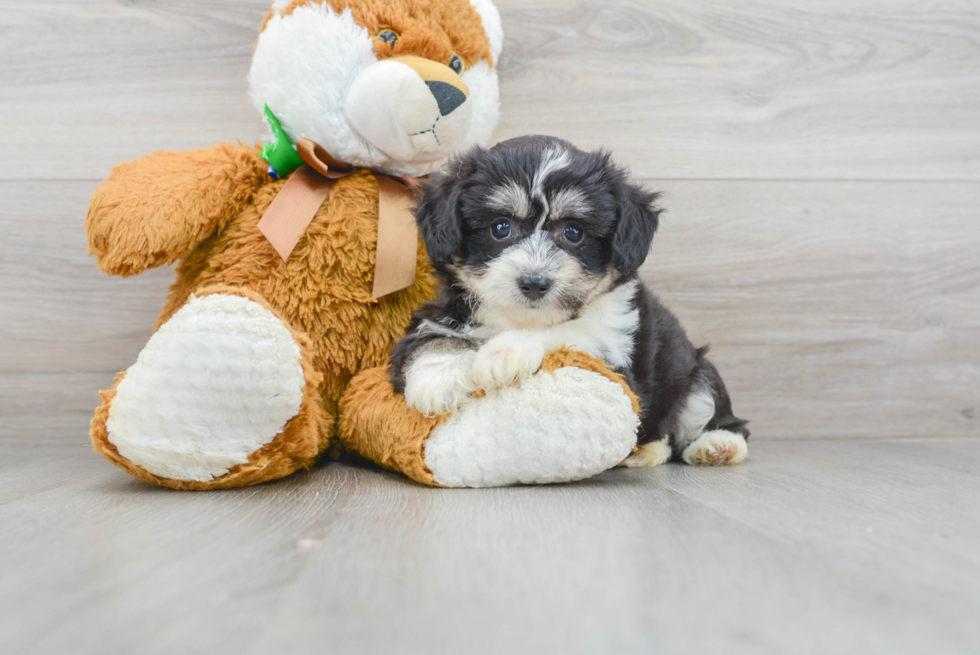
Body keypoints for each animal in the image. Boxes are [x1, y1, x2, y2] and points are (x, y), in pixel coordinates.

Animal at [386, 136, 748, 468]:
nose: (534, 283)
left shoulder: (617, 353)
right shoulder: (441, 313)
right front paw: (439, 376)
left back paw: (718, 445)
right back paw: (645, 452)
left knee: (706, 412)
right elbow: (431, 338)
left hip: (695, 373)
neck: (518, 318)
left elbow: (567, 334)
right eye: (501, 227)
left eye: (574, 232)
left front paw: (504, 352)